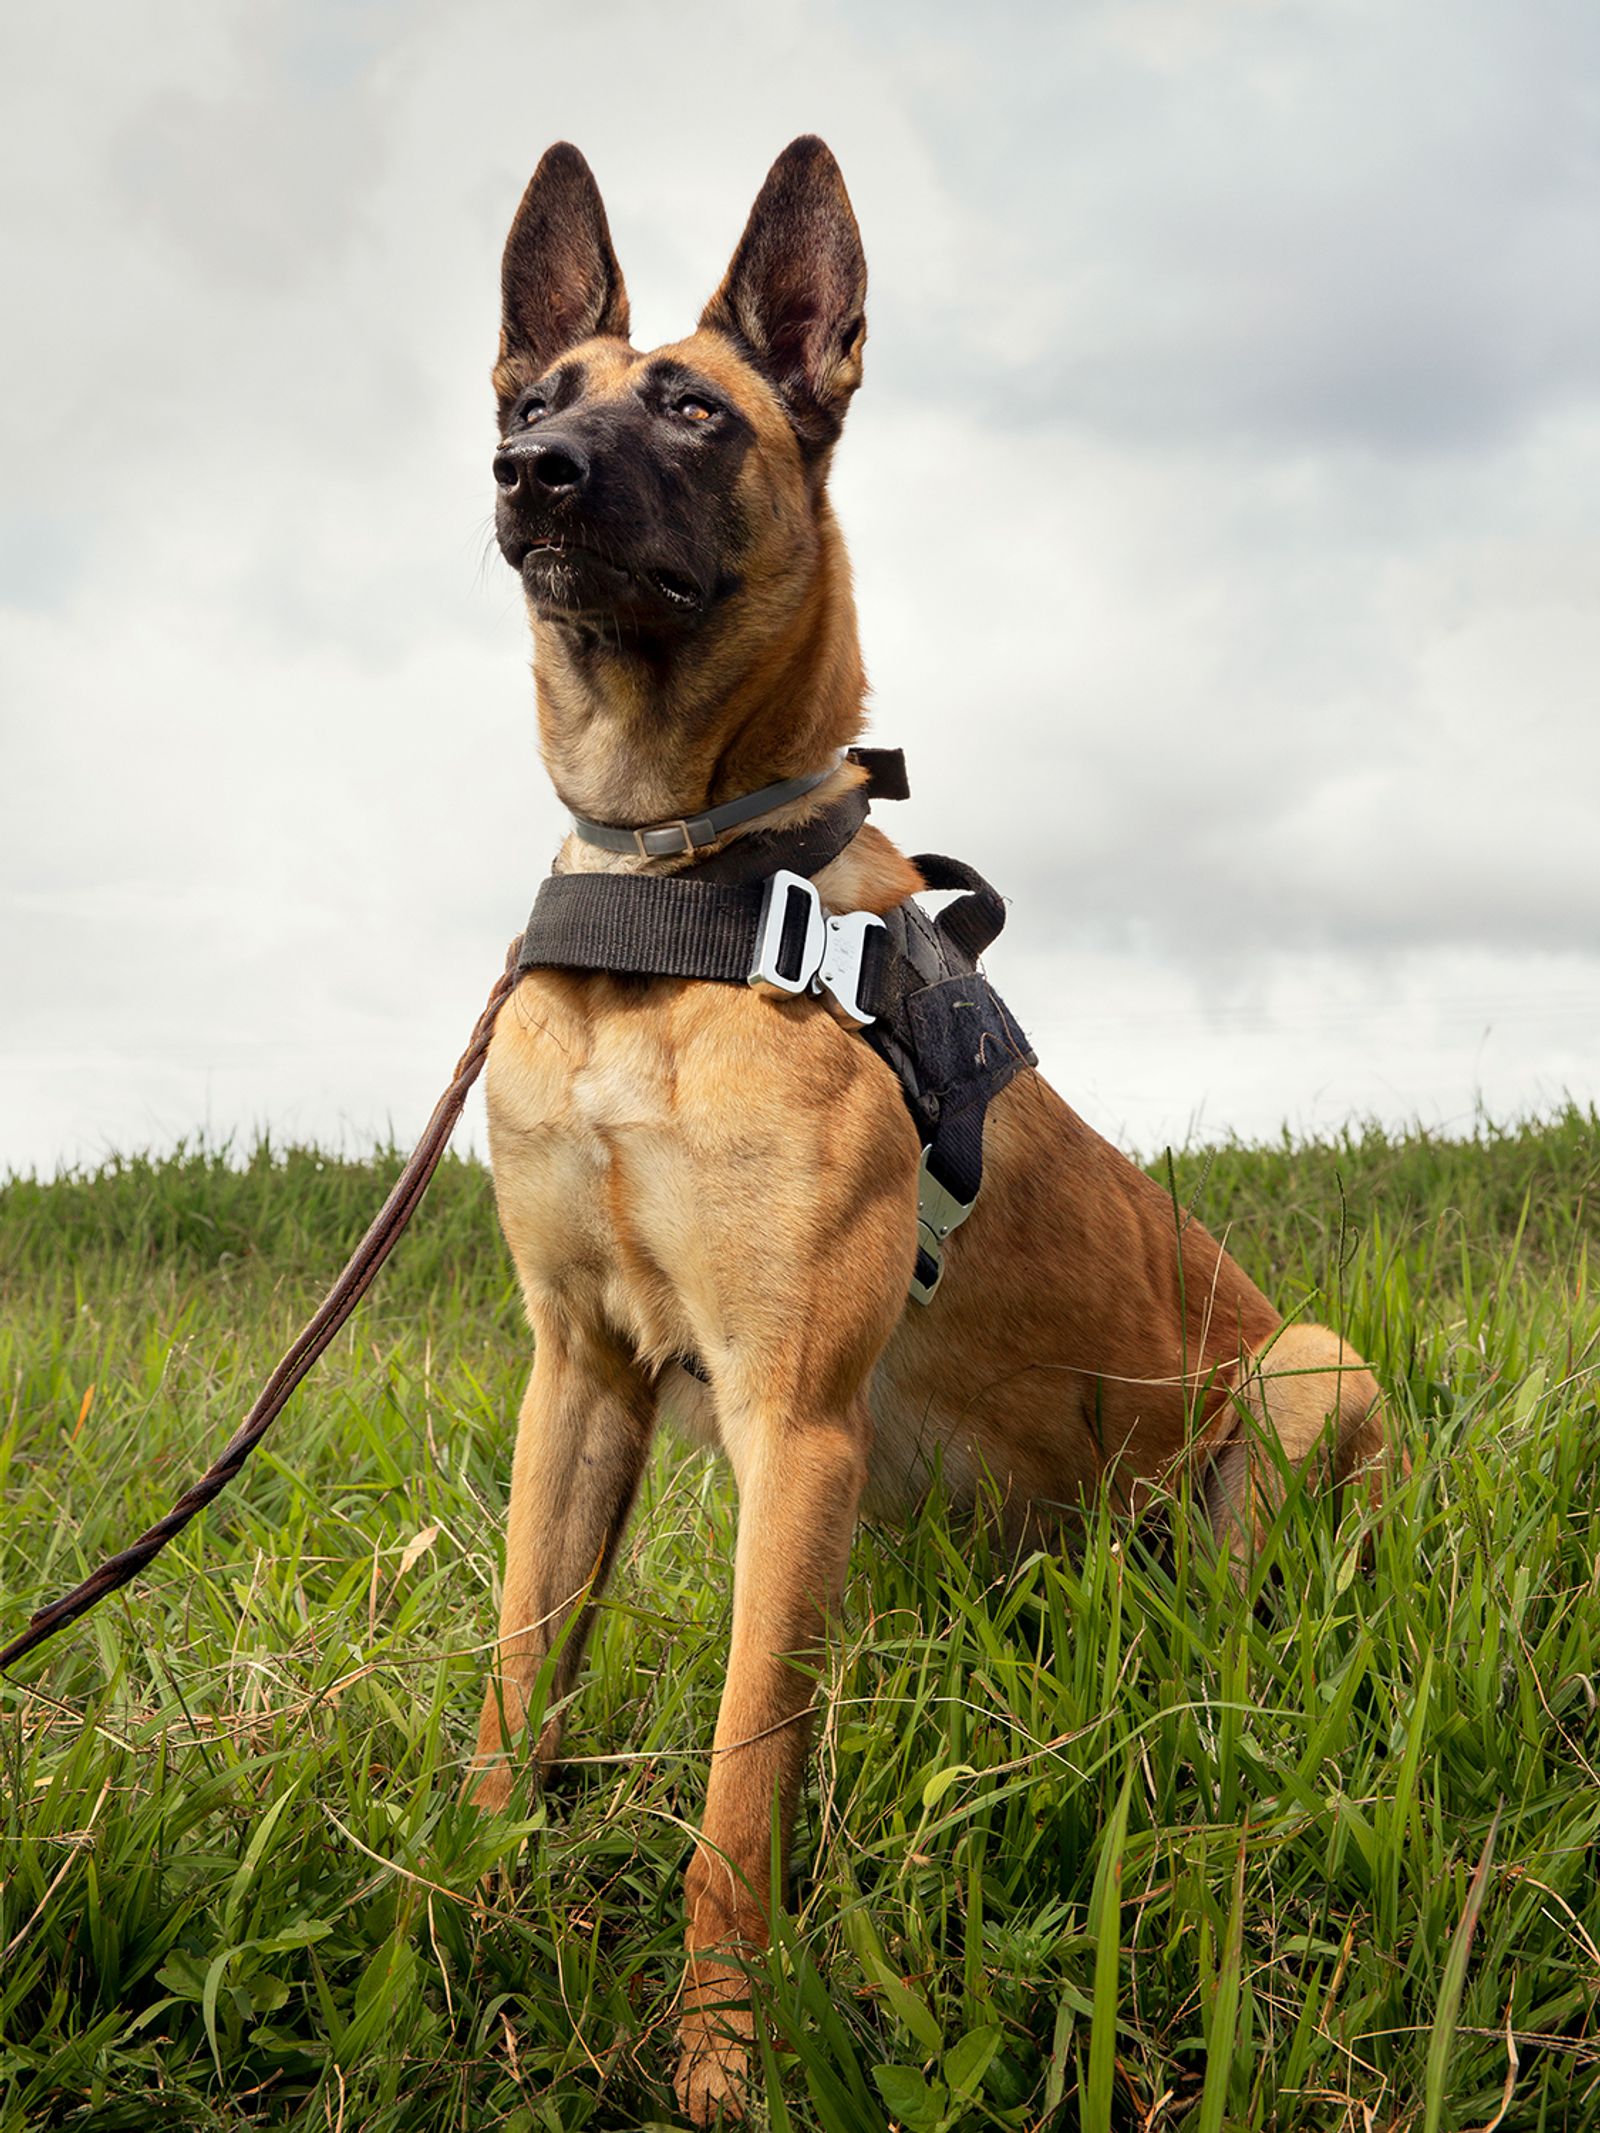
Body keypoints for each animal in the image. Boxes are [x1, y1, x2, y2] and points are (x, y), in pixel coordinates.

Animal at [467, 141, 1390, 2124]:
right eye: (529, 397)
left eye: (692, 407)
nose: (531, 473)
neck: (680, 890)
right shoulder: (575, 1373)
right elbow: (516, 1687)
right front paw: (464, 1899)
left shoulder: (794, 1424)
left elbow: (739, 1795)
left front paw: (721, 2054)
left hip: (1302, 1373)